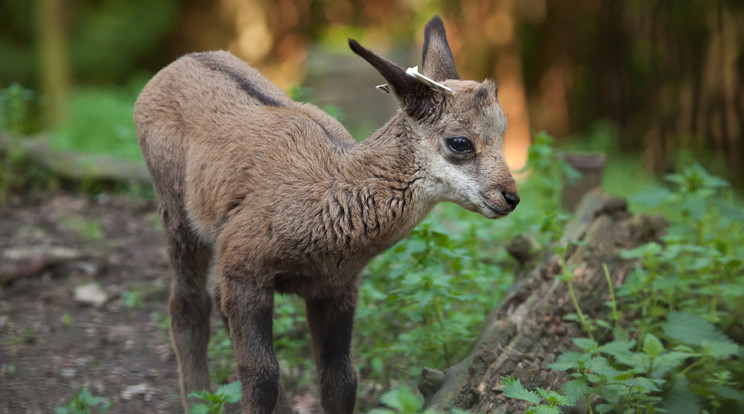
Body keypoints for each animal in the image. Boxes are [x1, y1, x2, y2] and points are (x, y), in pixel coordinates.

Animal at [134, 14, 516, 412]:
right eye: (460, 142)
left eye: (503, 133)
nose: (510, 197)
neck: (332, 193)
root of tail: (179, 63)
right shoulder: (244, 268)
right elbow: (261, 374)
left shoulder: (335, 288)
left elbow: (340, 378)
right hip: (177, 214)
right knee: (188, 303)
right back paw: (195, 396)